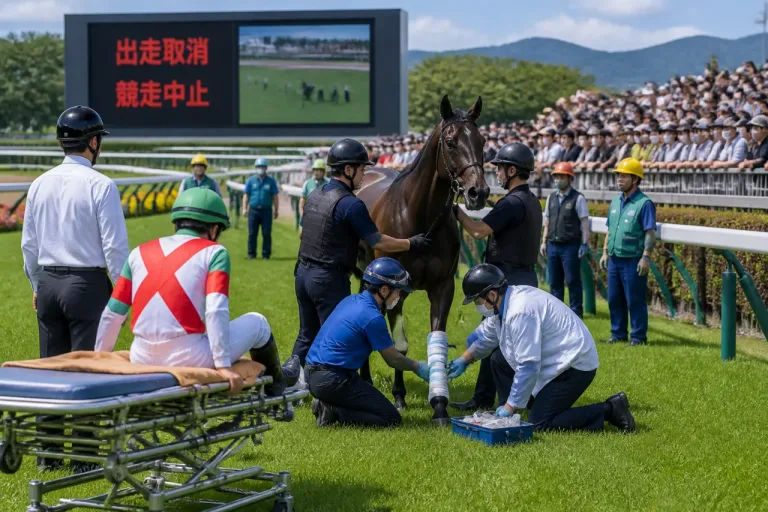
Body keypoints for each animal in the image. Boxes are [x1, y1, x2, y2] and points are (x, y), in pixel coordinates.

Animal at [356, 95, 490, 425]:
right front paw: (399, 396)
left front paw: (439, 404)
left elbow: (436, 337)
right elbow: (399, 345)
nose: (478, 192)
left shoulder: (443, 287)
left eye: (482, 140)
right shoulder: (395, 286)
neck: (418, 215)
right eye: (451, 142)